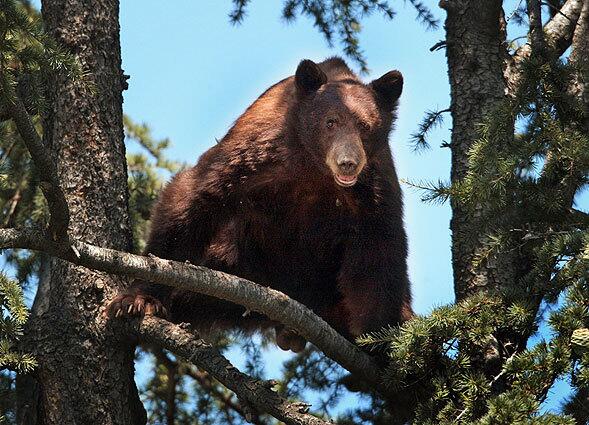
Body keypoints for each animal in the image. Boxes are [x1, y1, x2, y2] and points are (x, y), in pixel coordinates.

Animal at [109, 56, 414, 352]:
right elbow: (195, 197)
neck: (315, 168)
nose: (348, 162)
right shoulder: (259, 152)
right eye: (331, 121)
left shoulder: (372, 187)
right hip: (234, 258)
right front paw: (138, 298)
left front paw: (377, 340)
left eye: (365, 125)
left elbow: (377, 249)